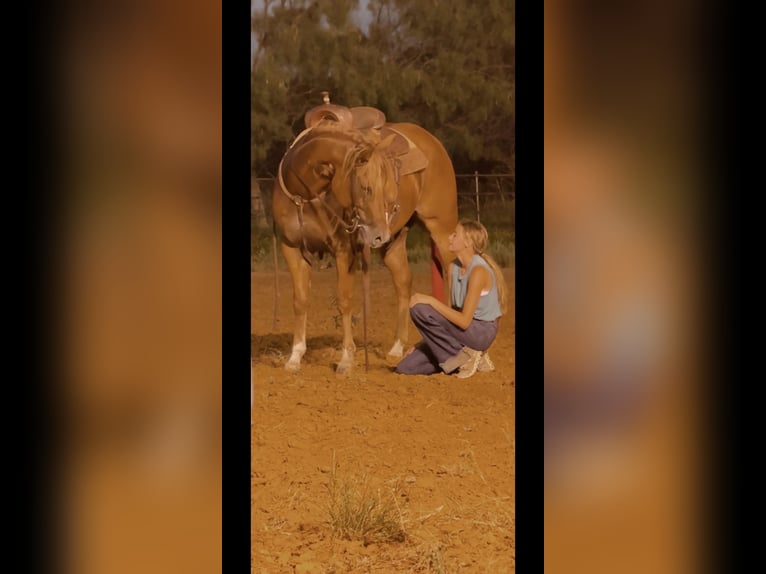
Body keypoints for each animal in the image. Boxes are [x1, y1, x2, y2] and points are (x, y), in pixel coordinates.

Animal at [272, 99, 460, 374]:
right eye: (365, 187)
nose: (378, 234)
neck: (304, 195)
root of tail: (433, 141)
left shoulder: (343, 250)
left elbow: (345, 300)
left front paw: (346, 359)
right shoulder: (292, 248)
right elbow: (300, 300)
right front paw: (295, 357)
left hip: (441, 228)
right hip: (394, 241)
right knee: (403, 281)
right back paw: (396, 348)